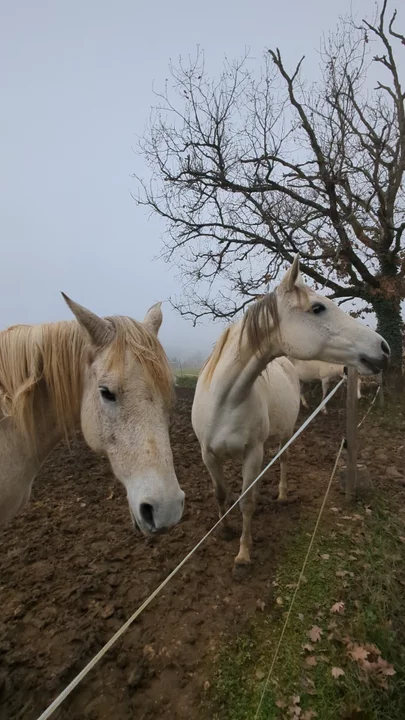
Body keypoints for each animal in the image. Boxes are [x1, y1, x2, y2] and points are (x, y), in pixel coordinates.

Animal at [192, 255, 390, 568]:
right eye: (317, 308)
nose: (383, 347)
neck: (225, 400)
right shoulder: (208, 453)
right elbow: (221, 493)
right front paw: (224, 530)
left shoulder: (253, 452)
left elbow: (246, 501)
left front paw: (243, 554)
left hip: (285, 434)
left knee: (283, 460)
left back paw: (283, 495)